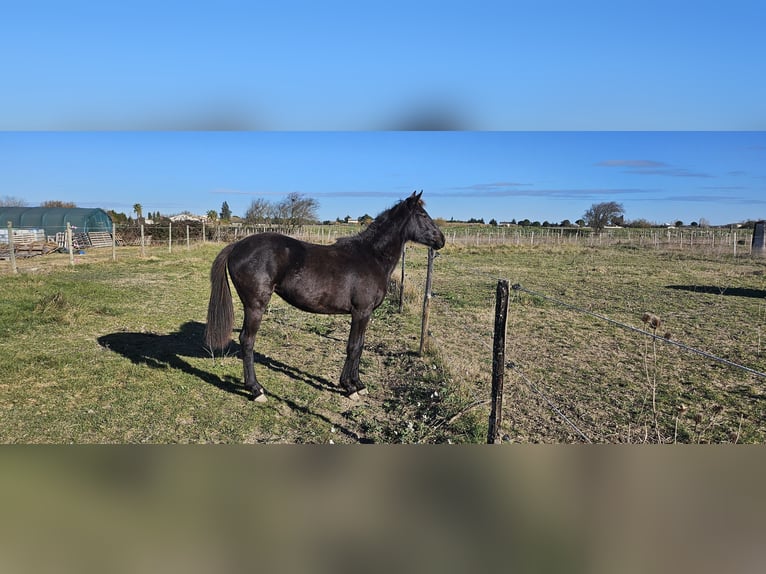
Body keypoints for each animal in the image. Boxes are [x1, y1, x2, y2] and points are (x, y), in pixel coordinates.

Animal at [204, 191, 448, 402]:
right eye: (422, 215)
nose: (441, 240)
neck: (372, 257)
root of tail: (237, 245)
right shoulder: (361, 312)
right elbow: (353, 347)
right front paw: (349, 387)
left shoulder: (365, 314)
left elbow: (360, 346)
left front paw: (359, 384)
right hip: (255, 306)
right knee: (247, 341)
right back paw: (256, 390)